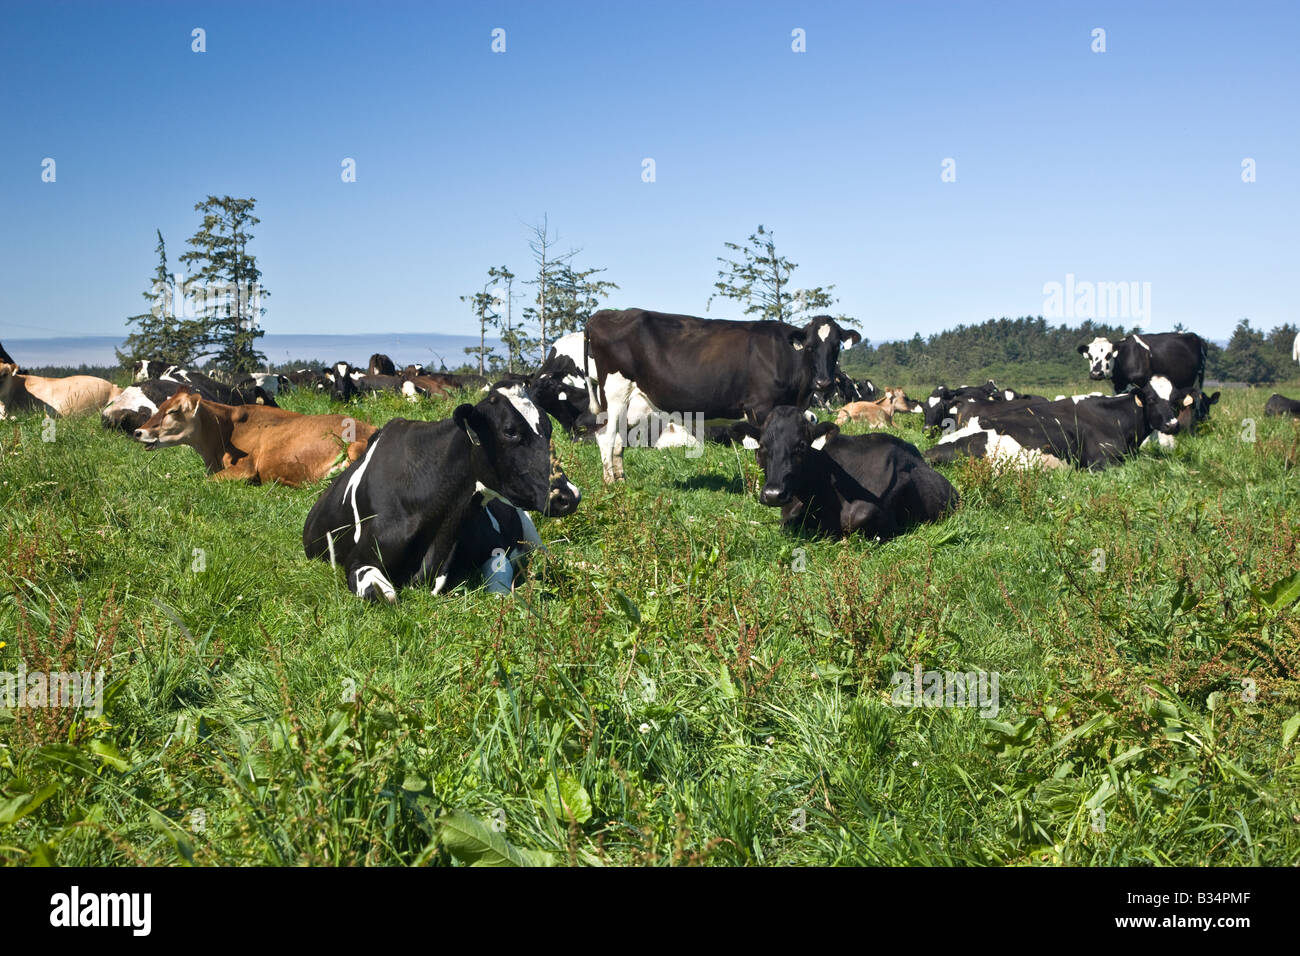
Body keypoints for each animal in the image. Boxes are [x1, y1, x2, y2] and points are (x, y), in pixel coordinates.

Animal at [304, 379, 579, 598]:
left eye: (549, 428)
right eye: (510, 431)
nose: (570, 496)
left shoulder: (496, 547)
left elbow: (500, 588)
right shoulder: (359, 561)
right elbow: (387, 595)